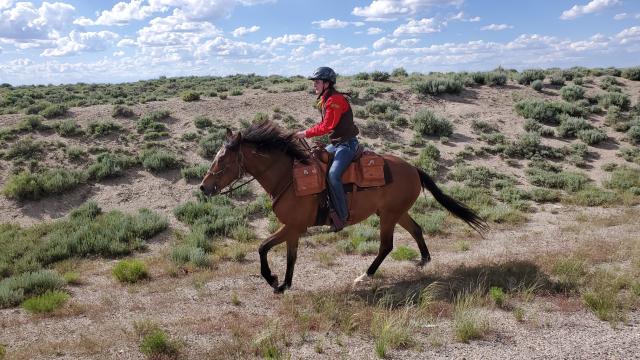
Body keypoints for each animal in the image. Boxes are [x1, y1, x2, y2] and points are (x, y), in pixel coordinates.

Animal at [198, 121, 488, 292]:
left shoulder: (293, 226)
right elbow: (283, 254)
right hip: (396, 212)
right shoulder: (292, 228)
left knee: (386, 246)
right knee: (416, 230)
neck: (288, 177)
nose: (204, 187)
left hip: (389, 216)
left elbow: (264, 248)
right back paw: (424, 262)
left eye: (222, 159)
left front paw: (274, 280)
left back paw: (364, 276)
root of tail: (414, 168)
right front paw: (283, 283)